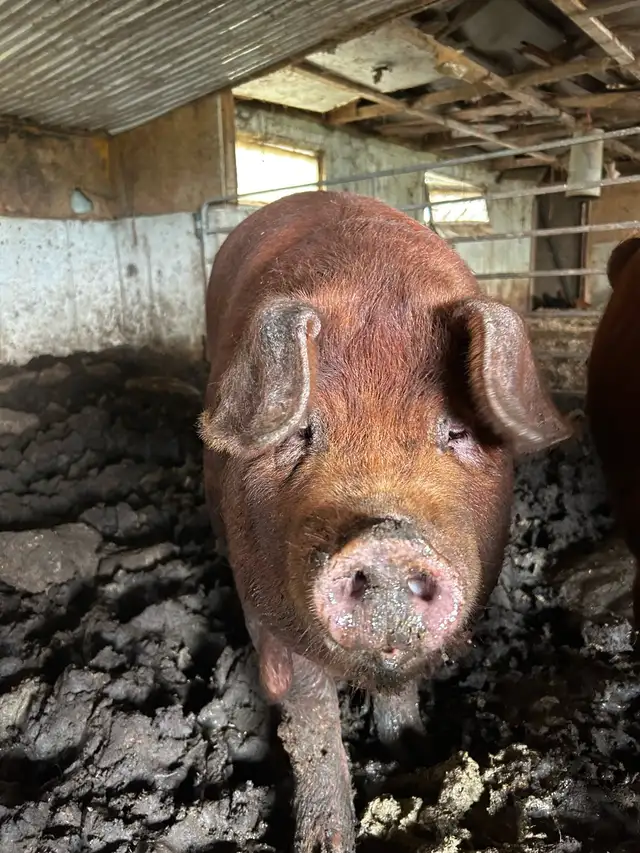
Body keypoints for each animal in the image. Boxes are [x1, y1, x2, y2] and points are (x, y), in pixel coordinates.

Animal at [198, 190, 570, 852]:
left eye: (457, 431)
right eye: (302, 431)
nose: (388, 540)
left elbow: (401, 691)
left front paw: (413, 756)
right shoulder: (267, 601)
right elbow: (312, 722)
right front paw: (325, 843)